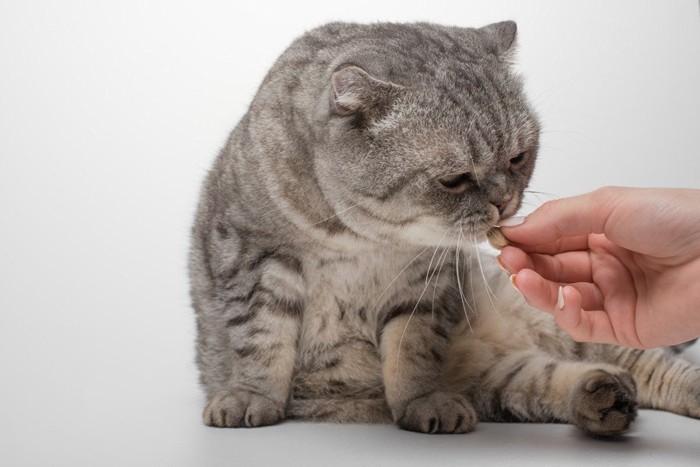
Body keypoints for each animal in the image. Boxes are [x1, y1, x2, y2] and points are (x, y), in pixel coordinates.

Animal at [190, 22, 700, 436]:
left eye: (517, 158)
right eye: (455, 179)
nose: (503, 201)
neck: (365, 241)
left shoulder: (424, 283)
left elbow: (412, 350)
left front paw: (423, 401)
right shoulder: (253, 258)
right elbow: (261, 340)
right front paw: (252, 396)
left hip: (555, 323)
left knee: (644, 361)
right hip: (502, 381)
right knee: (558, 377)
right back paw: (603, 398)